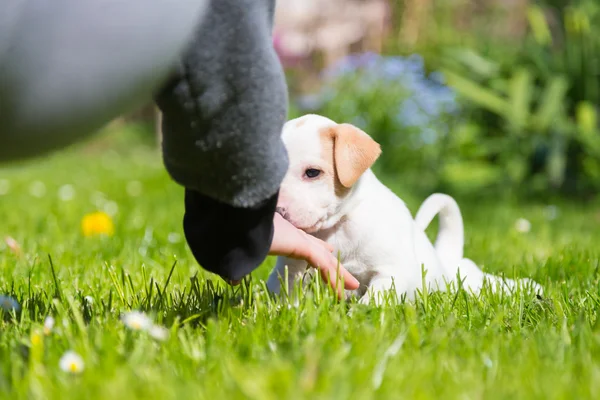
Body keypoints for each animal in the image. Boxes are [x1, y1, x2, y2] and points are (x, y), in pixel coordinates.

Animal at [264, 114, 540, 304]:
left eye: (312, 173)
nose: (277, 212)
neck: (337, 228)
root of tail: (445, 256)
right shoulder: (291, 270)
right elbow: (286, 293)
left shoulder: (393, 272)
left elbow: (373, 299)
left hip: (467, 280)